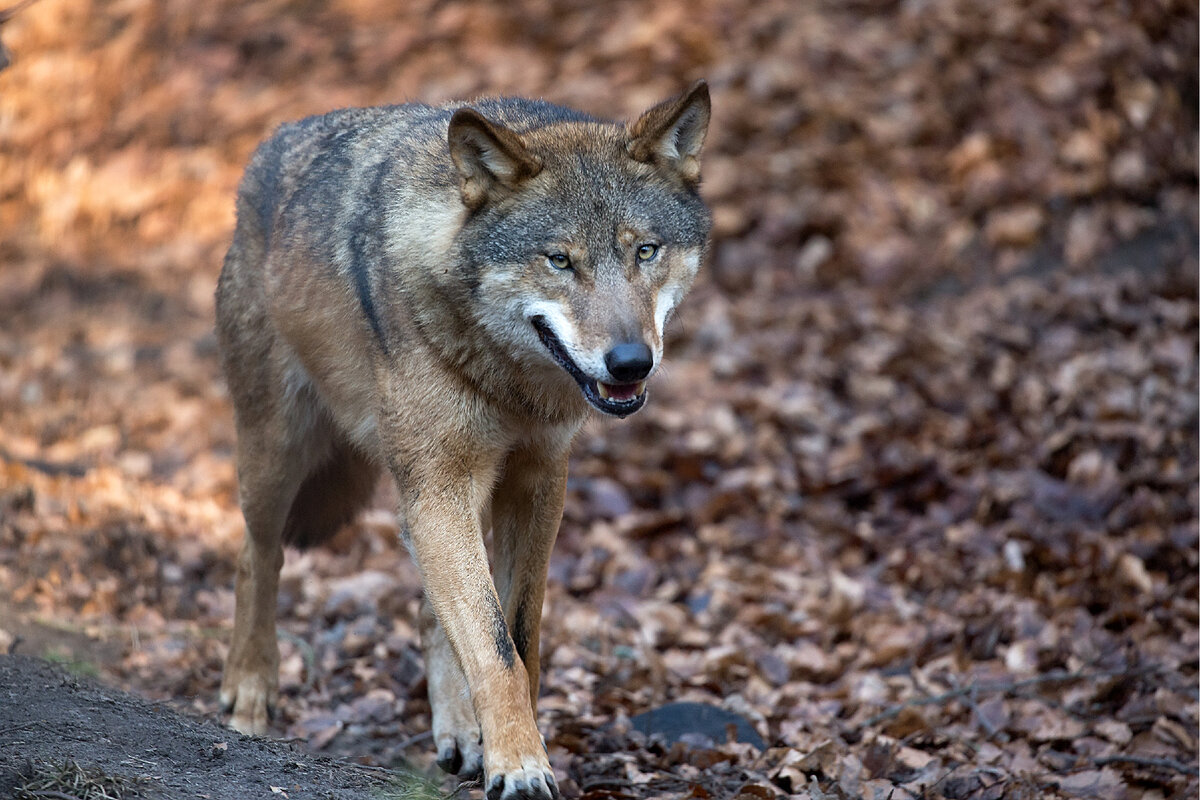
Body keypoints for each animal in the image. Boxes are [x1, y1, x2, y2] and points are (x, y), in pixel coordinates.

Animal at [213, 82, 710, 800]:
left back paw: (458, 733)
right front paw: (521, 766)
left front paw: (503, 748)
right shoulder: (441, 485)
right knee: (258, 556)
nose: (629, 363)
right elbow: (494, 648)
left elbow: (516, 637)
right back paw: (249, 693)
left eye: (644, 251)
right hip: (279, 460)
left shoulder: (536, 482)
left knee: (429, 612)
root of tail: (268, 147)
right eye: (559, 260)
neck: (510, 382)